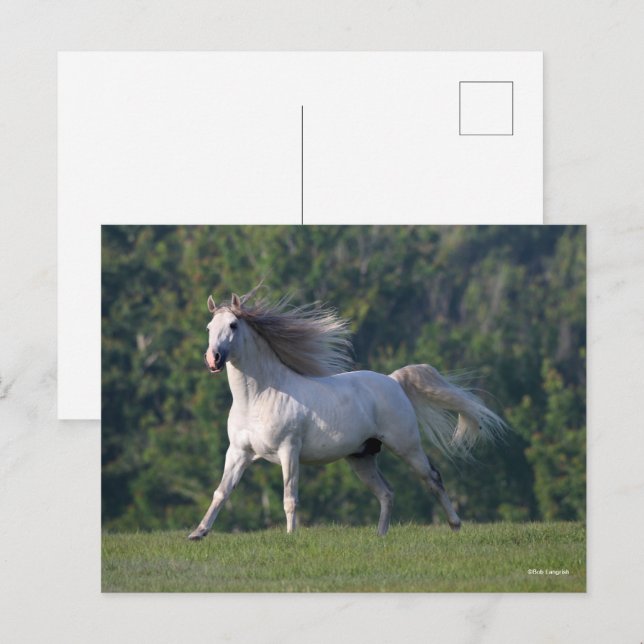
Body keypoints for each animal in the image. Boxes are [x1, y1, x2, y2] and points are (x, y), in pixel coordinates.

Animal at [188, 286, 507, 540]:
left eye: (233, 325)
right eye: (208, 327)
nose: (213, 359)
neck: (260, 397)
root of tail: (393, 381)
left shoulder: (289, 450)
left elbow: (290, 497)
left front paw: (291, 537)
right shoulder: (238, 452)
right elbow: (221, 492)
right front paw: (198, 533)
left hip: (406, 446)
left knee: (432, 478)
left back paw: (455, 524)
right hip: (361, 457)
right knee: (387, 493)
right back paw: (380, 536)